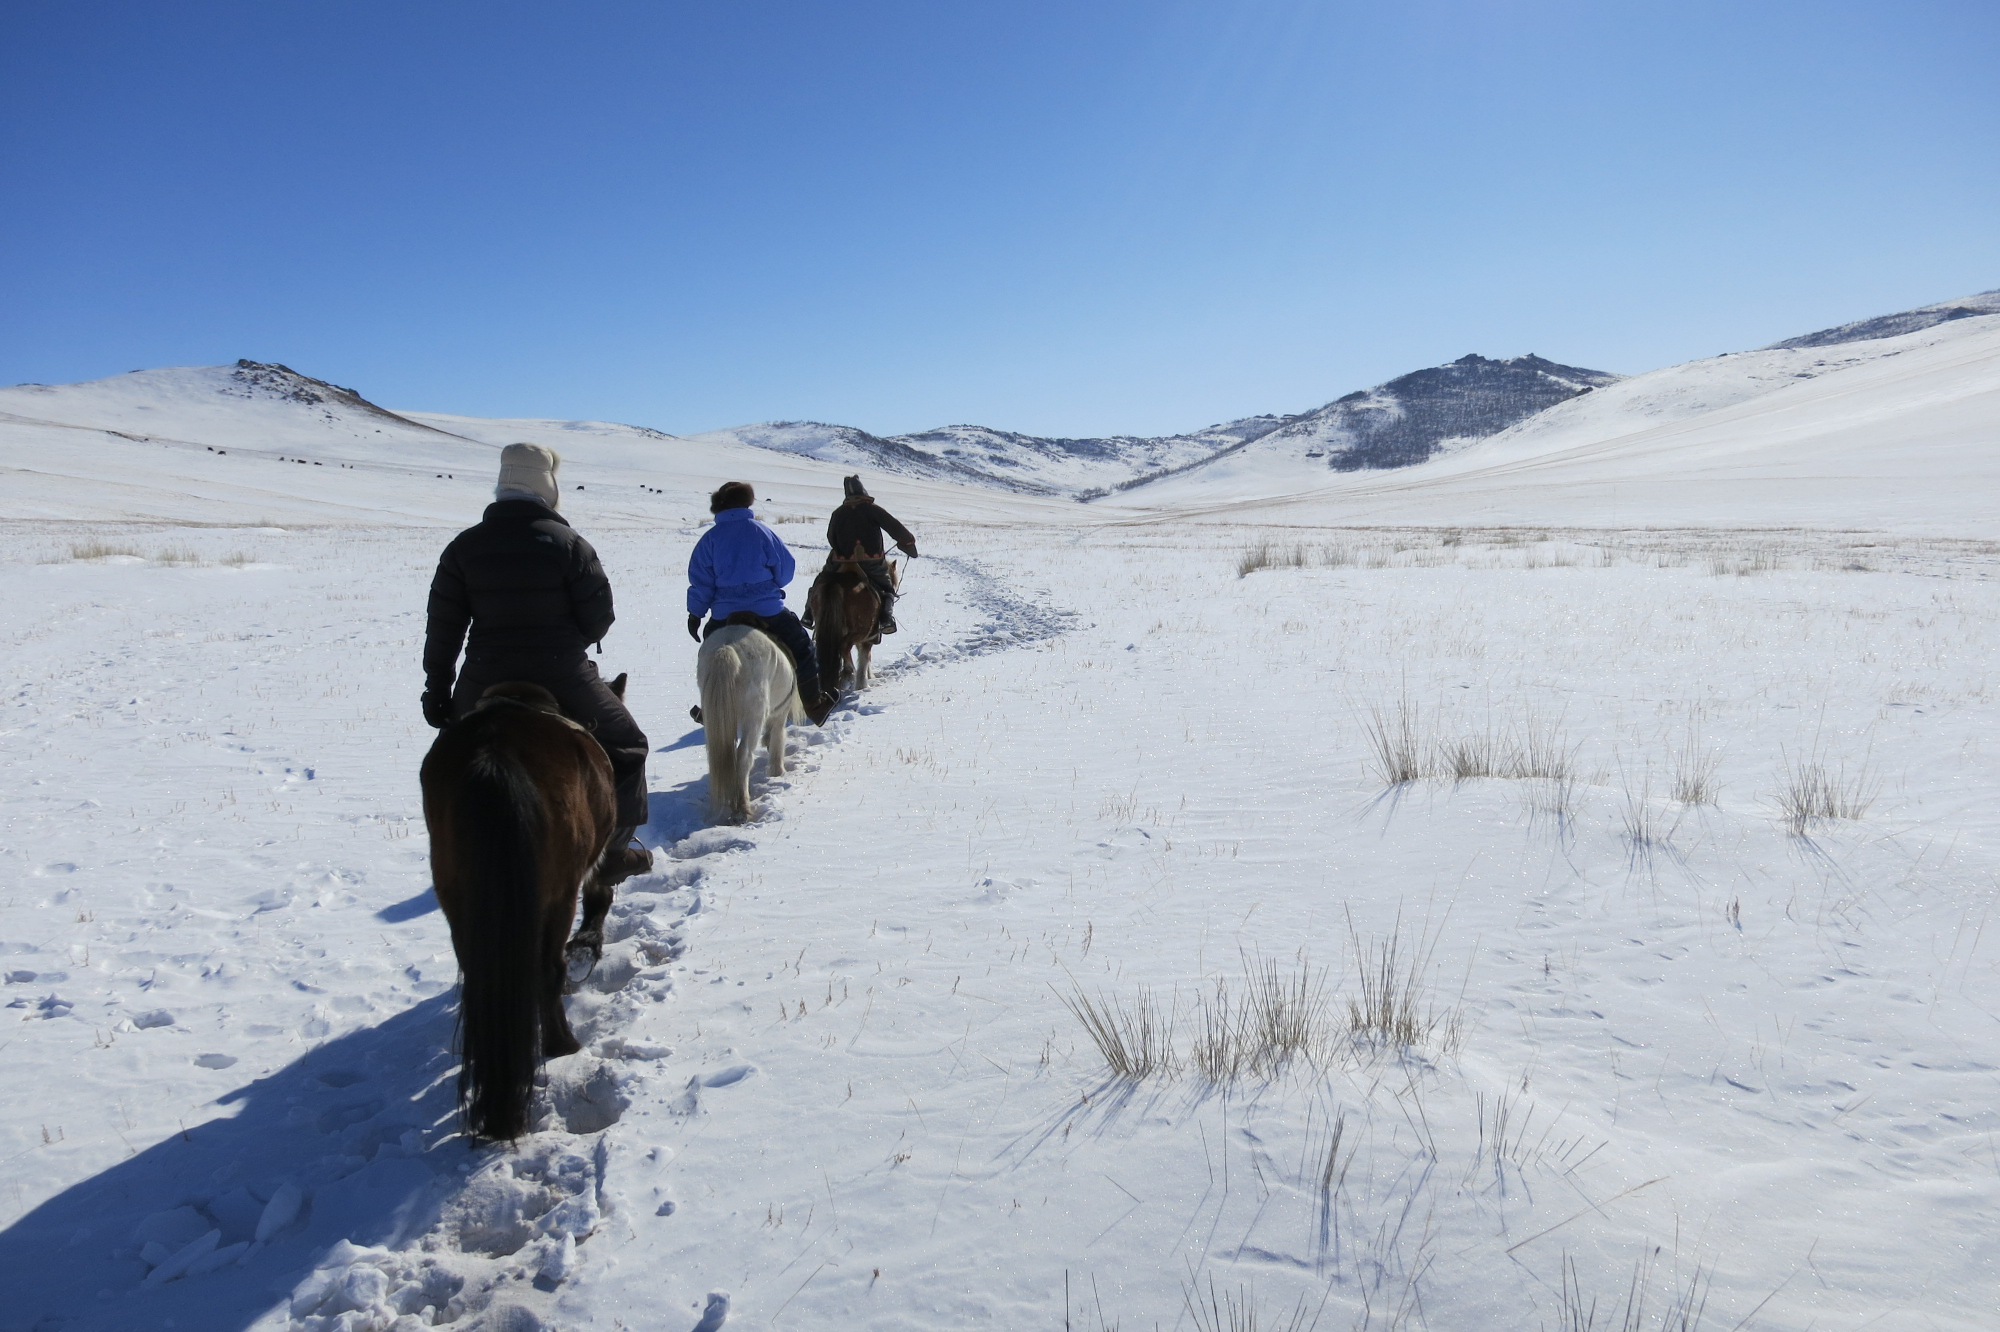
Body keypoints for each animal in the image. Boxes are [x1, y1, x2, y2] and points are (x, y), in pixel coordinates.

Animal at [420, 680, 632, 1136]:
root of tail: (493, 754)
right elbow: (598, 893)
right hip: (556, 896)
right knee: (548, 970)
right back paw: (563, 1044)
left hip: (458, 901)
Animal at [700, 624, 800, 820]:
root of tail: (727, 646)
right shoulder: (780, 715)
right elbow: (778, 741)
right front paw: (778, 773)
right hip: (754, 716)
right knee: (744, 756)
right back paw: (743, 808)